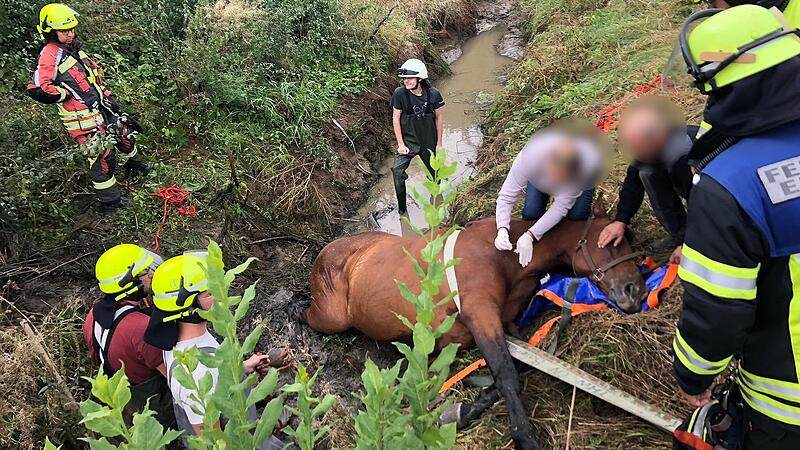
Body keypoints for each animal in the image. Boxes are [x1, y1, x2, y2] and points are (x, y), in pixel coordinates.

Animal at [304, 202, 646, 450]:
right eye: (612, 243)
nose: (637, 292)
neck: (501, 255)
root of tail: (330, 250)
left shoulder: (503, 325)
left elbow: (515, 368)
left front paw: (461, 410)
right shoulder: (481, 314)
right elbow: (507, 375)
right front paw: (524, 436)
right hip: (330, 318)